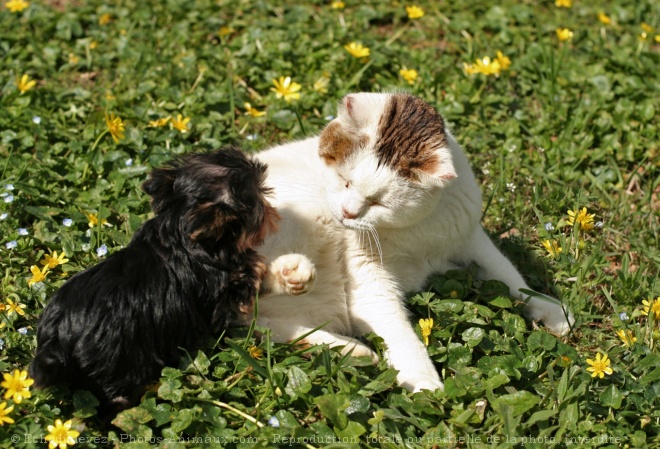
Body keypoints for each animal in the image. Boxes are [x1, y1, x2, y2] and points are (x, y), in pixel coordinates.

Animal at [27, 147, 276, 406]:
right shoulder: (231, 284)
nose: (272, 211)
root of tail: (57, 337)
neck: (178, 227)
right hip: (118, 363)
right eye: (262, 200)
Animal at [255, 93, 576, 390]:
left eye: (379, 202)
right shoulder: (367, 275)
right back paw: (294, 273)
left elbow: (509, 275)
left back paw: (347, 348)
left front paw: (551, 309)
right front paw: (424, 380)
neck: (413, 232)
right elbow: (398, 330)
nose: (348, 213)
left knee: (264, 327)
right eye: (345, 180)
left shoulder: (471, 239)